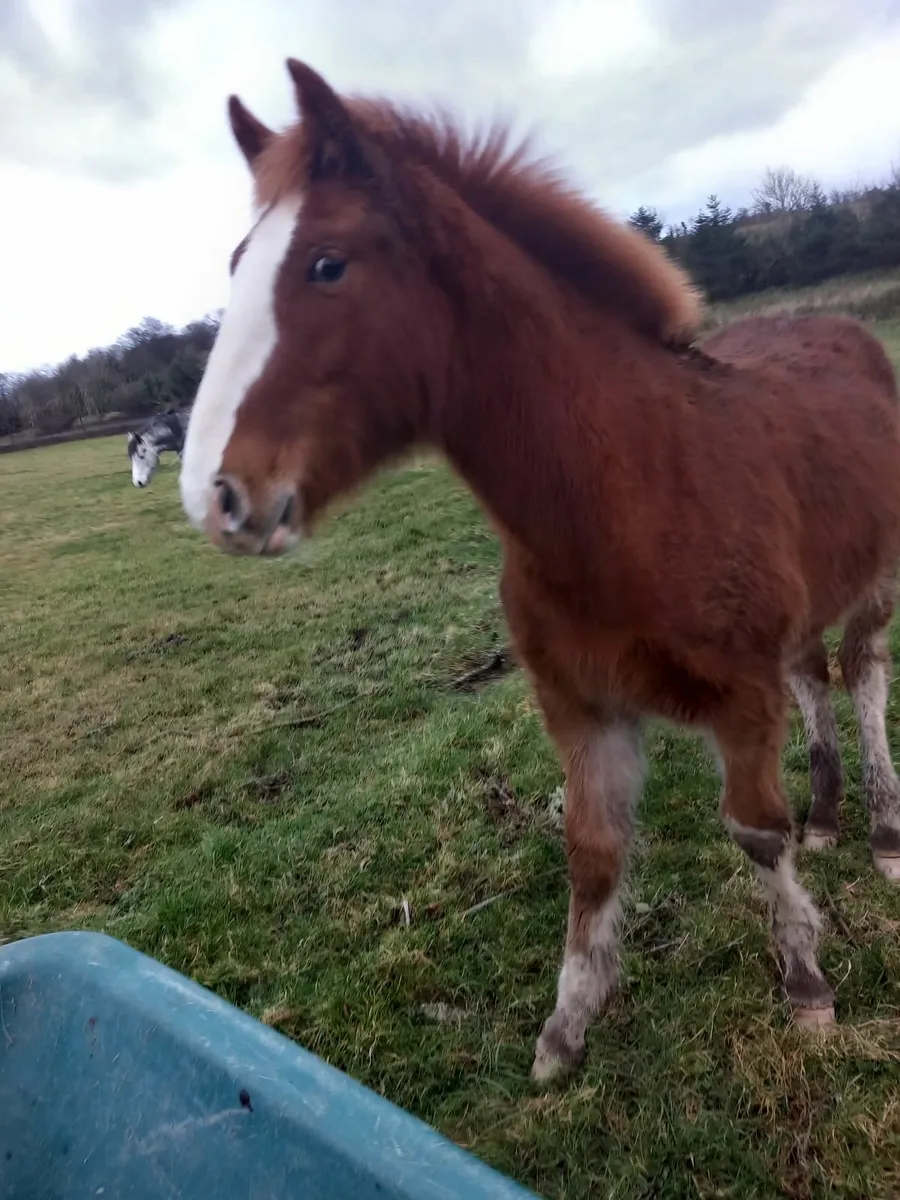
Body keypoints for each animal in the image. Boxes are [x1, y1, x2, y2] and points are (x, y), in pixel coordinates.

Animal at [178, 59, 900, 1083]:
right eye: (238, 263)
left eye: (326, 263)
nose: (215, 496)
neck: (630, 496)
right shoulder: (578, 705)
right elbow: (591, 853)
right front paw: (567, 1027)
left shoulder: (740, 700)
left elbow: (758, 832)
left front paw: (805, 982)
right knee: (815, 677)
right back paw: (831, 814)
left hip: (875, 583)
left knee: (863, 676)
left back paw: (878, 832)